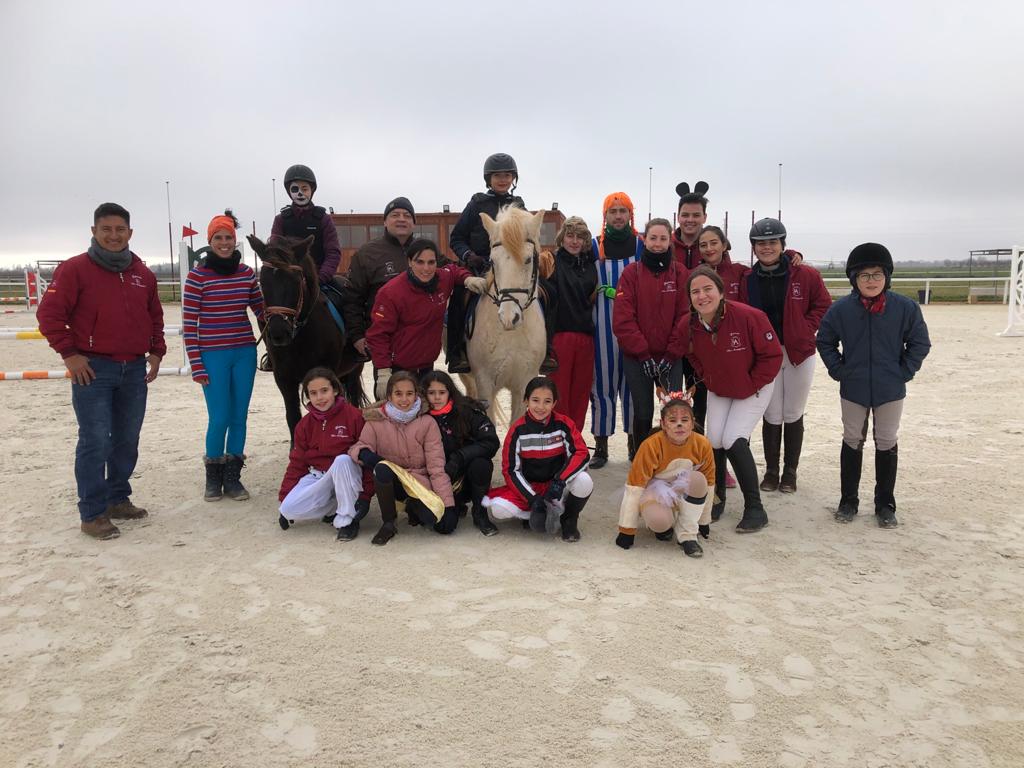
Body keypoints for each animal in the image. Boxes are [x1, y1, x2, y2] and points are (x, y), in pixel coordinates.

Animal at [247, 234, 364, 437]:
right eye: (263, 282)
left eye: (295, 281)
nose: (278, 333)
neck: (299, 338)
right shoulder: (284, 379)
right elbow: (293, 418)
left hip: (354, 369)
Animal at [462, 206, 549, 425]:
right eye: (492, 261)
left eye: (528, 259)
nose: (509, 318)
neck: (511, 335)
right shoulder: (485, 384)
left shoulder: (524, 383)